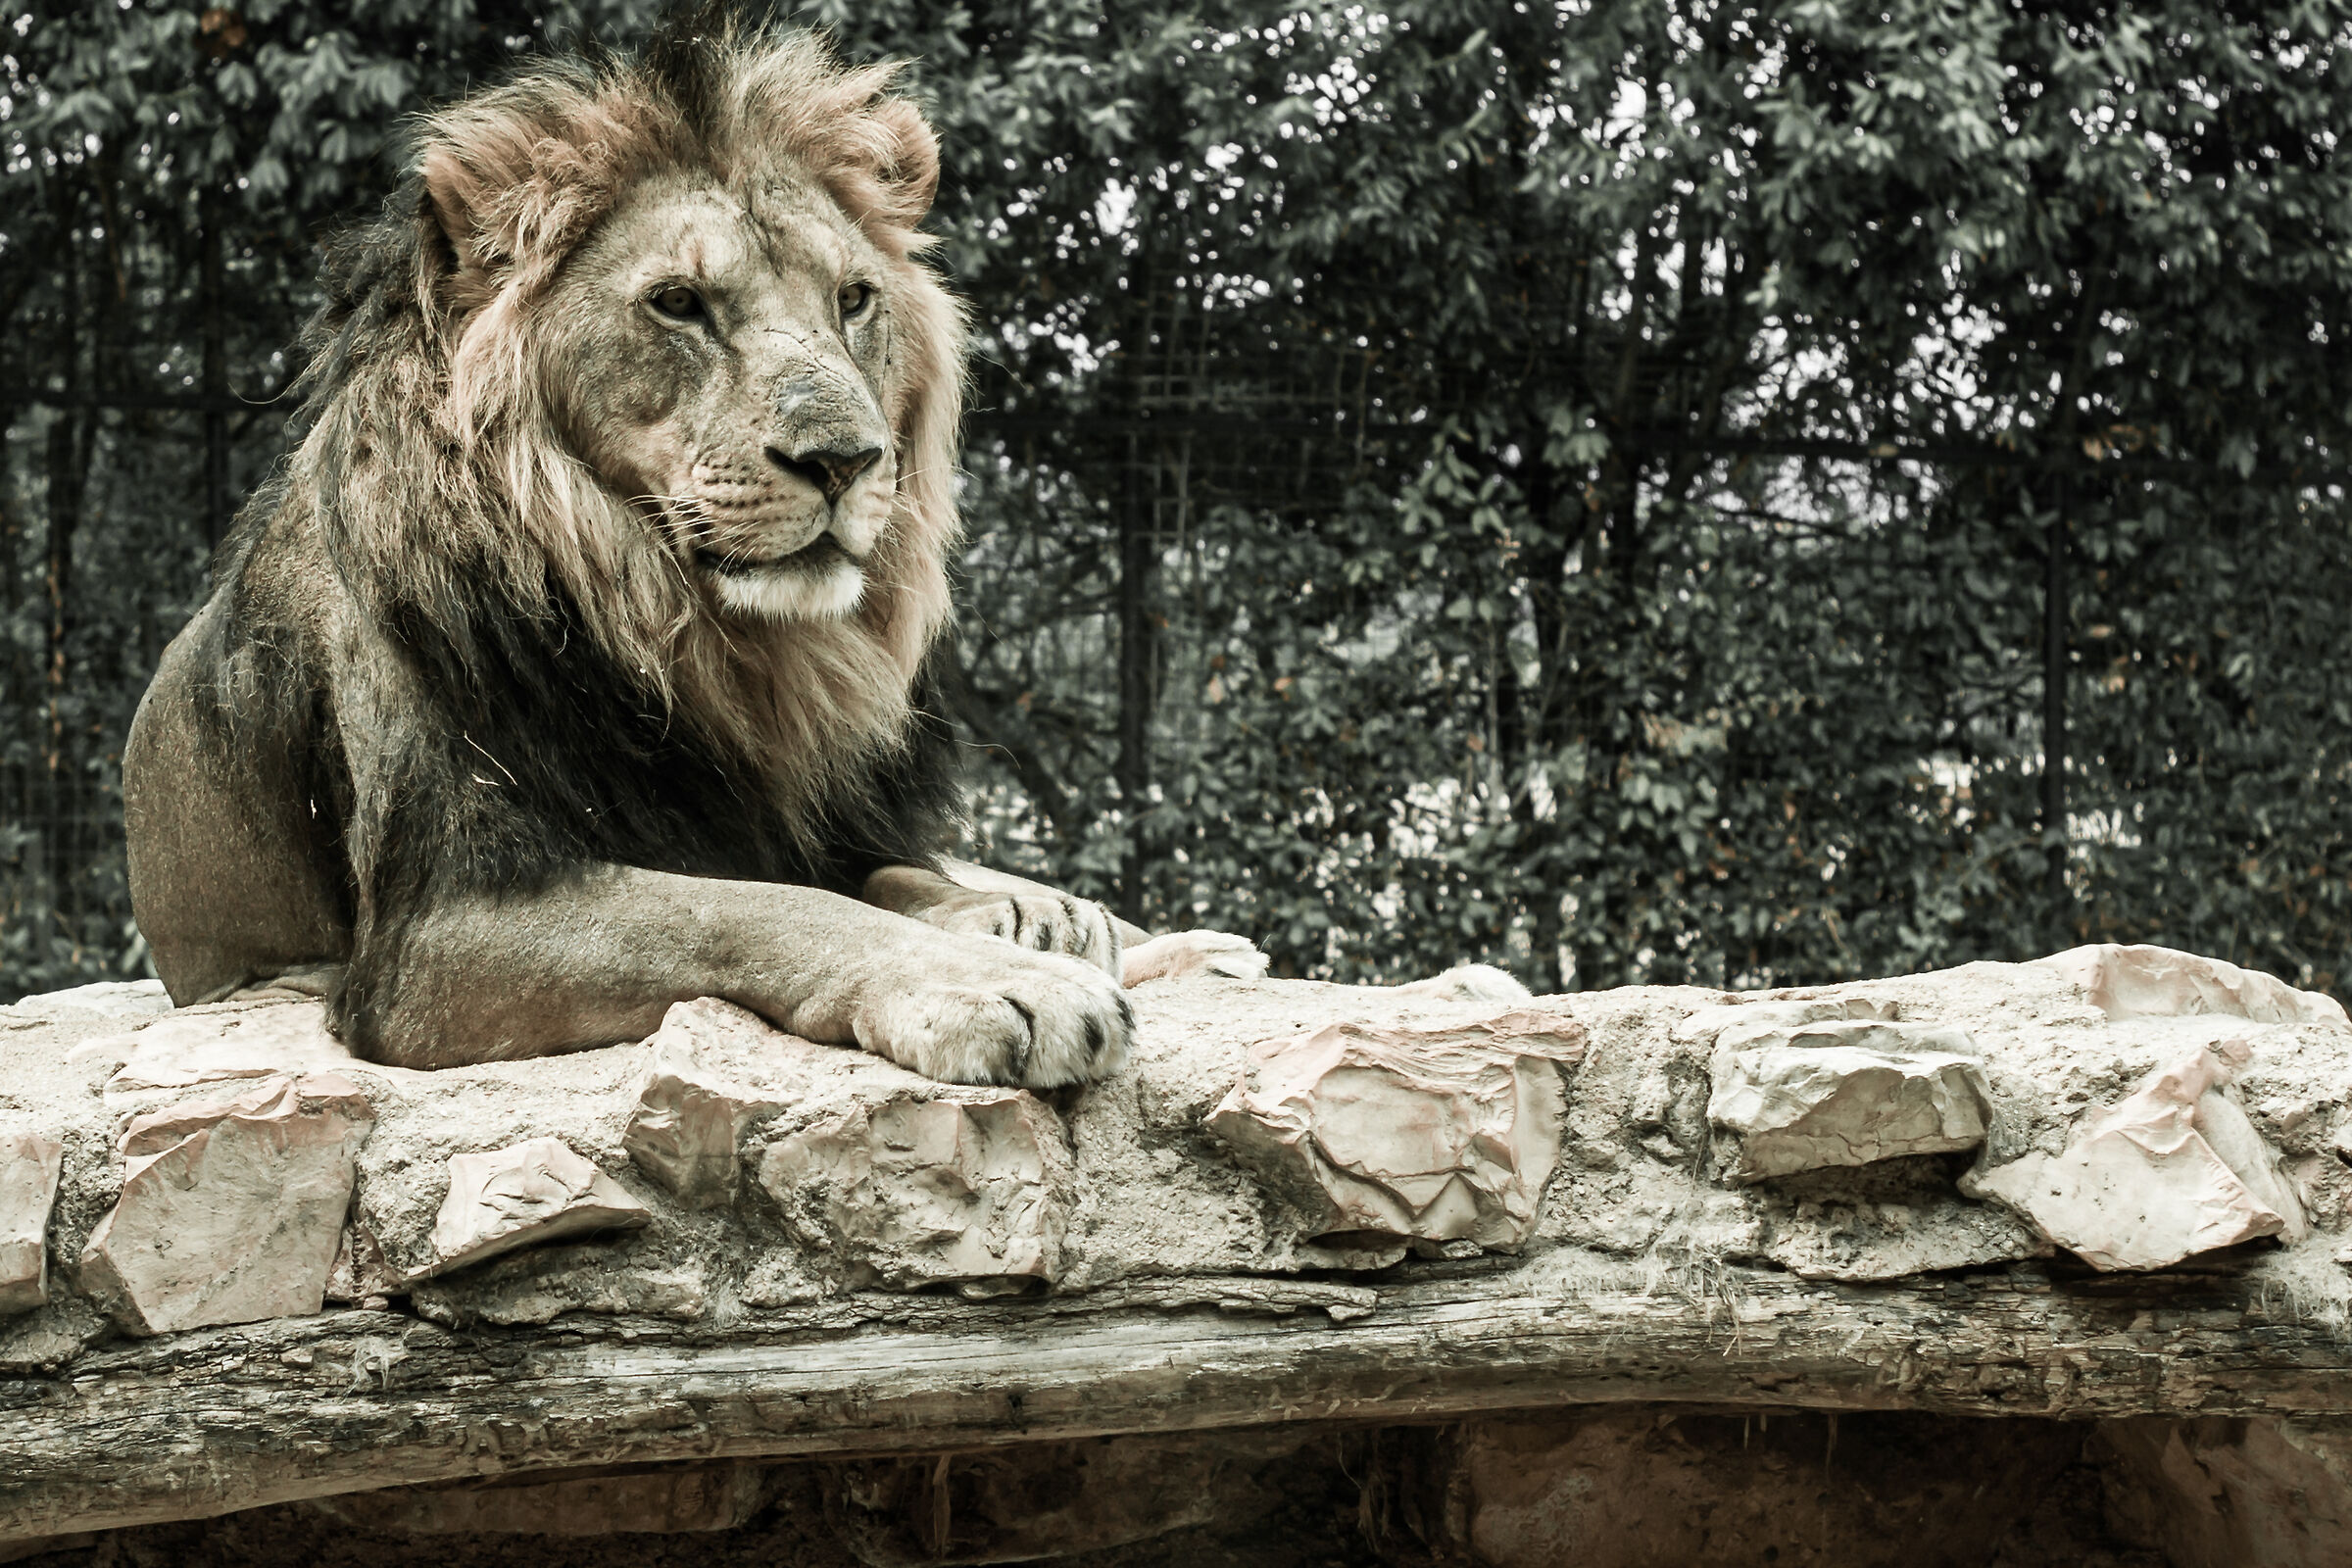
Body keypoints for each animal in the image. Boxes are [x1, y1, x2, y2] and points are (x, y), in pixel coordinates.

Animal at [122, 21, 1256, 1086]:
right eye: (677, 303)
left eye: (854, 299)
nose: (845, 460)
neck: (690, 634)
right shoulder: (434, 936)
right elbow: (761, 908)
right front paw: (1000, 983)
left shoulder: (821, 825)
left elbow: (882, 877)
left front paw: (1021, 925)